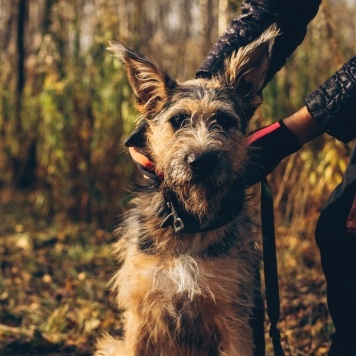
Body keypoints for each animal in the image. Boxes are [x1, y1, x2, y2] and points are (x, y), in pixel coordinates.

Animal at [96, 25, 280, 356]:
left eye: (224, 121)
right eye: (179, 120)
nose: (201, 160)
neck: (188, 221)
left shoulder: (234, 318)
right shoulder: (140, 313)